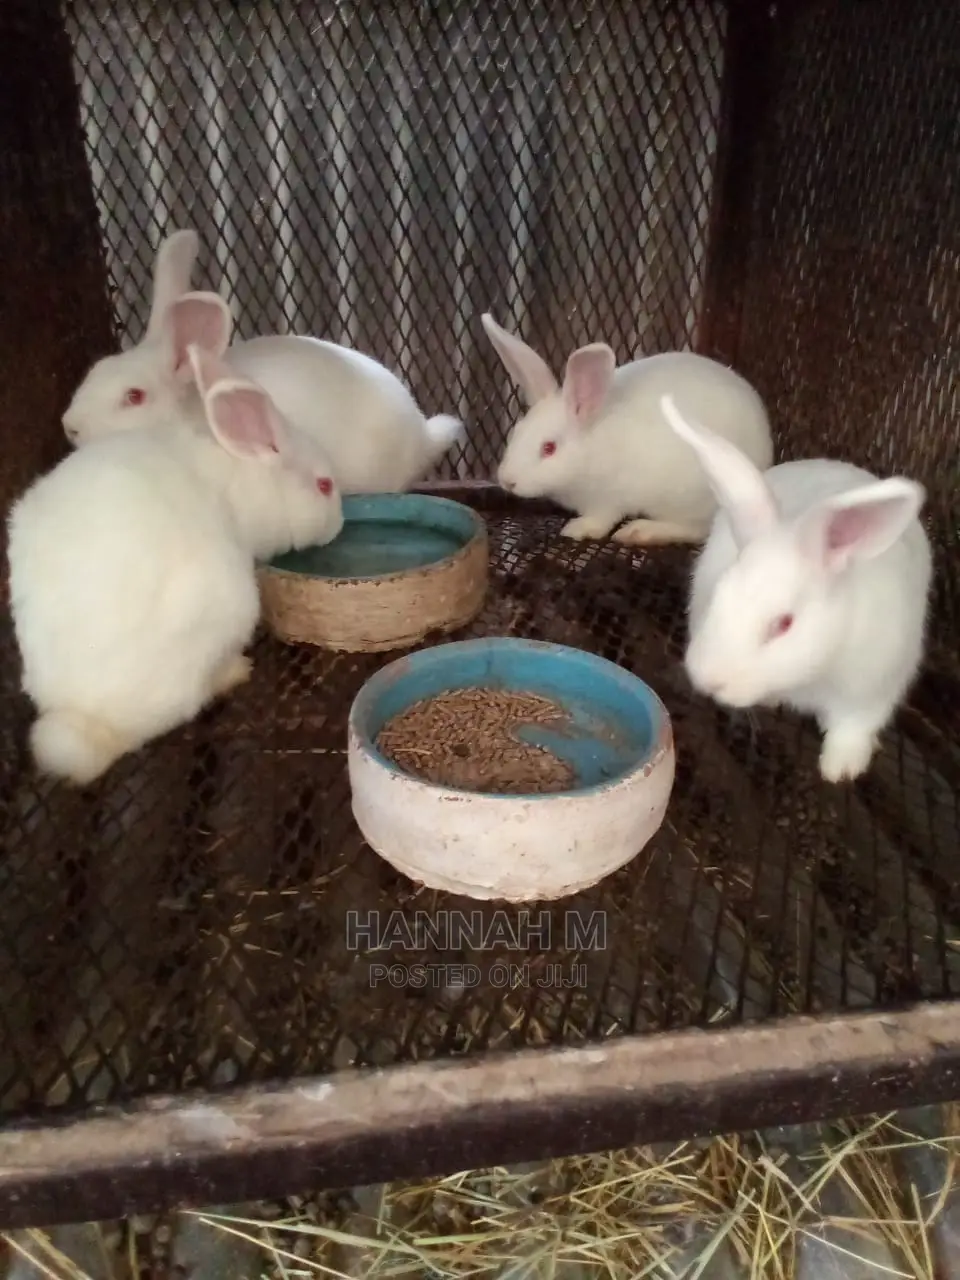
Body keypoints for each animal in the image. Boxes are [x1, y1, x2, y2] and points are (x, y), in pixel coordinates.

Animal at [8, 344, 344, 787]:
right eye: (325, 486)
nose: (339, 523)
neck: (246, 476)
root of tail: (86, 717)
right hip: (229, 605)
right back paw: (236, 671)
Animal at [480, 312, 774, 545]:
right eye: (515, 433)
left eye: (549, 448)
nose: (507, 480)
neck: (592, 443)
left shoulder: (607, 500)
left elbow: (601, 520)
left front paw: (576, 529)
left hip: (689, 500)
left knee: (695, 530)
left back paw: (640, 531)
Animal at [659, 392, 933, 784]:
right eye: (718, 597)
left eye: (784, 624)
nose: (708, 680)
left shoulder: (873, 688)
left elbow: (854, 726)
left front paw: (841, 770)